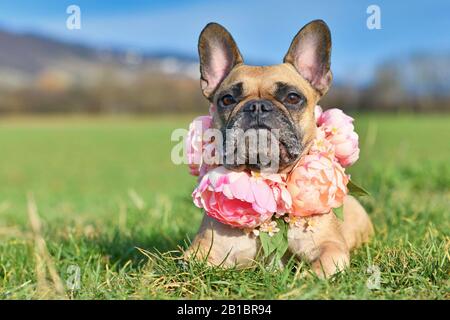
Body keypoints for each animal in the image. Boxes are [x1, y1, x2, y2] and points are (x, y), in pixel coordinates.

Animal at [183, 20, 372, 278]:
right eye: (227, 99)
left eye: (292, 98)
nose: (257, 106)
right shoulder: (201, 251)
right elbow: (190, 268)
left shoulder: (330, 247)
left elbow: (316, 270)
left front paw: (302, 279)